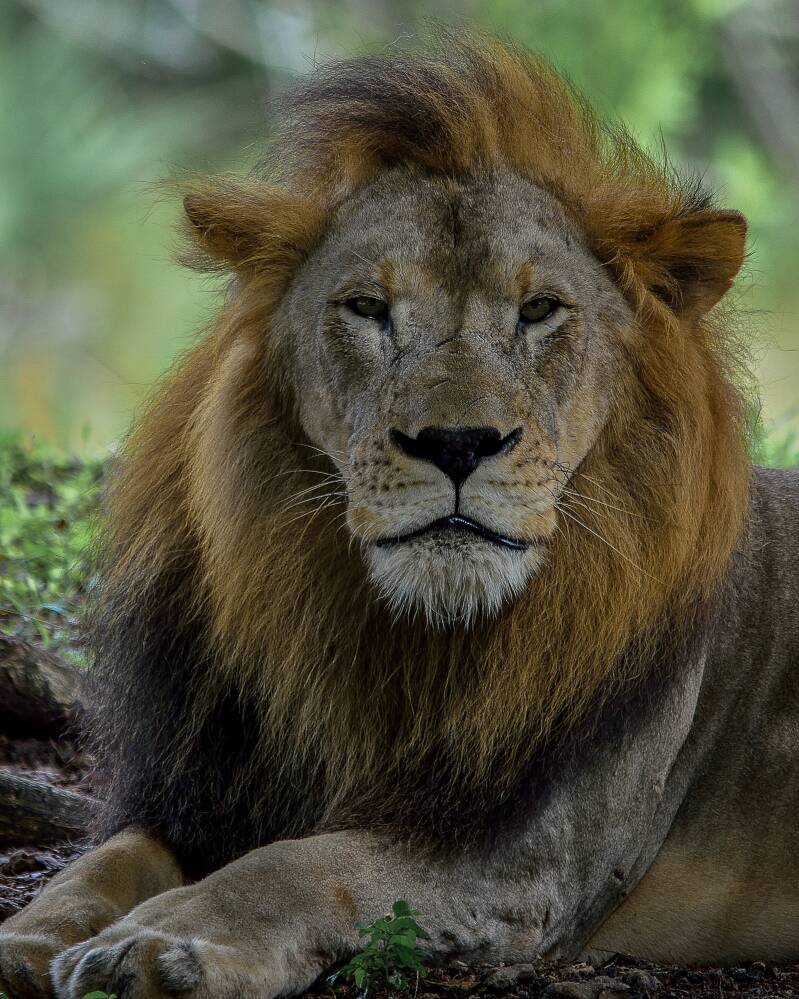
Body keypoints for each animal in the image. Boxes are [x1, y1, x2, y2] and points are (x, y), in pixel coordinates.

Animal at [1, 32, 798, 999]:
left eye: (539, 310)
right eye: (368, 308)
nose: (457, 441)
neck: (387, 643)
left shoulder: (523, 859)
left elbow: (301, 865)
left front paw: (157, 944)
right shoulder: (208, 787)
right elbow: (102, 859)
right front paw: (32, 935)